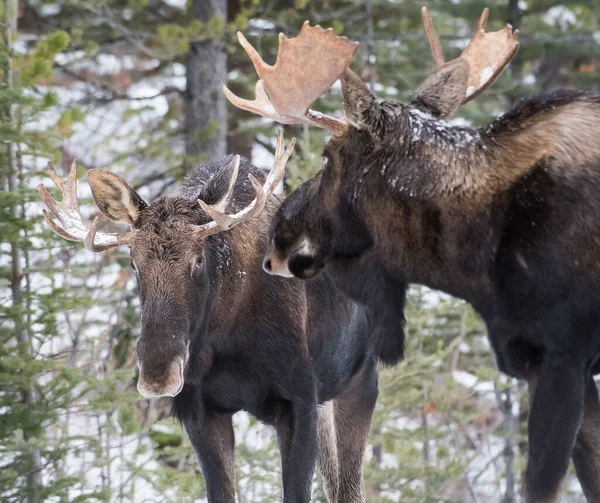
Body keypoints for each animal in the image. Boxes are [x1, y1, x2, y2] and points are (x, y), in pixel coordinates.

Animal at [35, 131, 396, 503]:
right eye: (133, 264)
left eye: (198, 260)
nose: (158, 373)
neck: (225, 338)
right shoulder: (200, 412)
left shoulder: (299, 401)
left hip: (360, 378)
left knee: (350, 487)